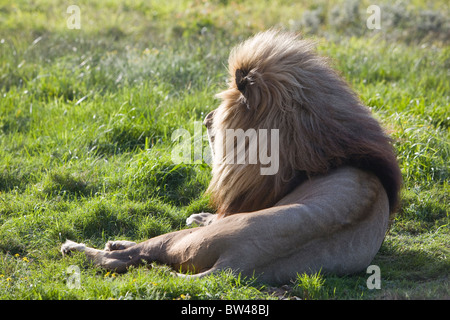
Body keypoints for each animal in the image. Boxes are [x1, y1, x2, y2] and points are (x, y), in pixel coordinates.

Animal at [61, 30, 402, 284]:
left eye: (222, 109)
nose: (206, 118)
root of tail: (236, 264)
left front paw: (200, 215)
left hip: (182, 238)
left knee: (122, 258)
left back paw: (79, 248)